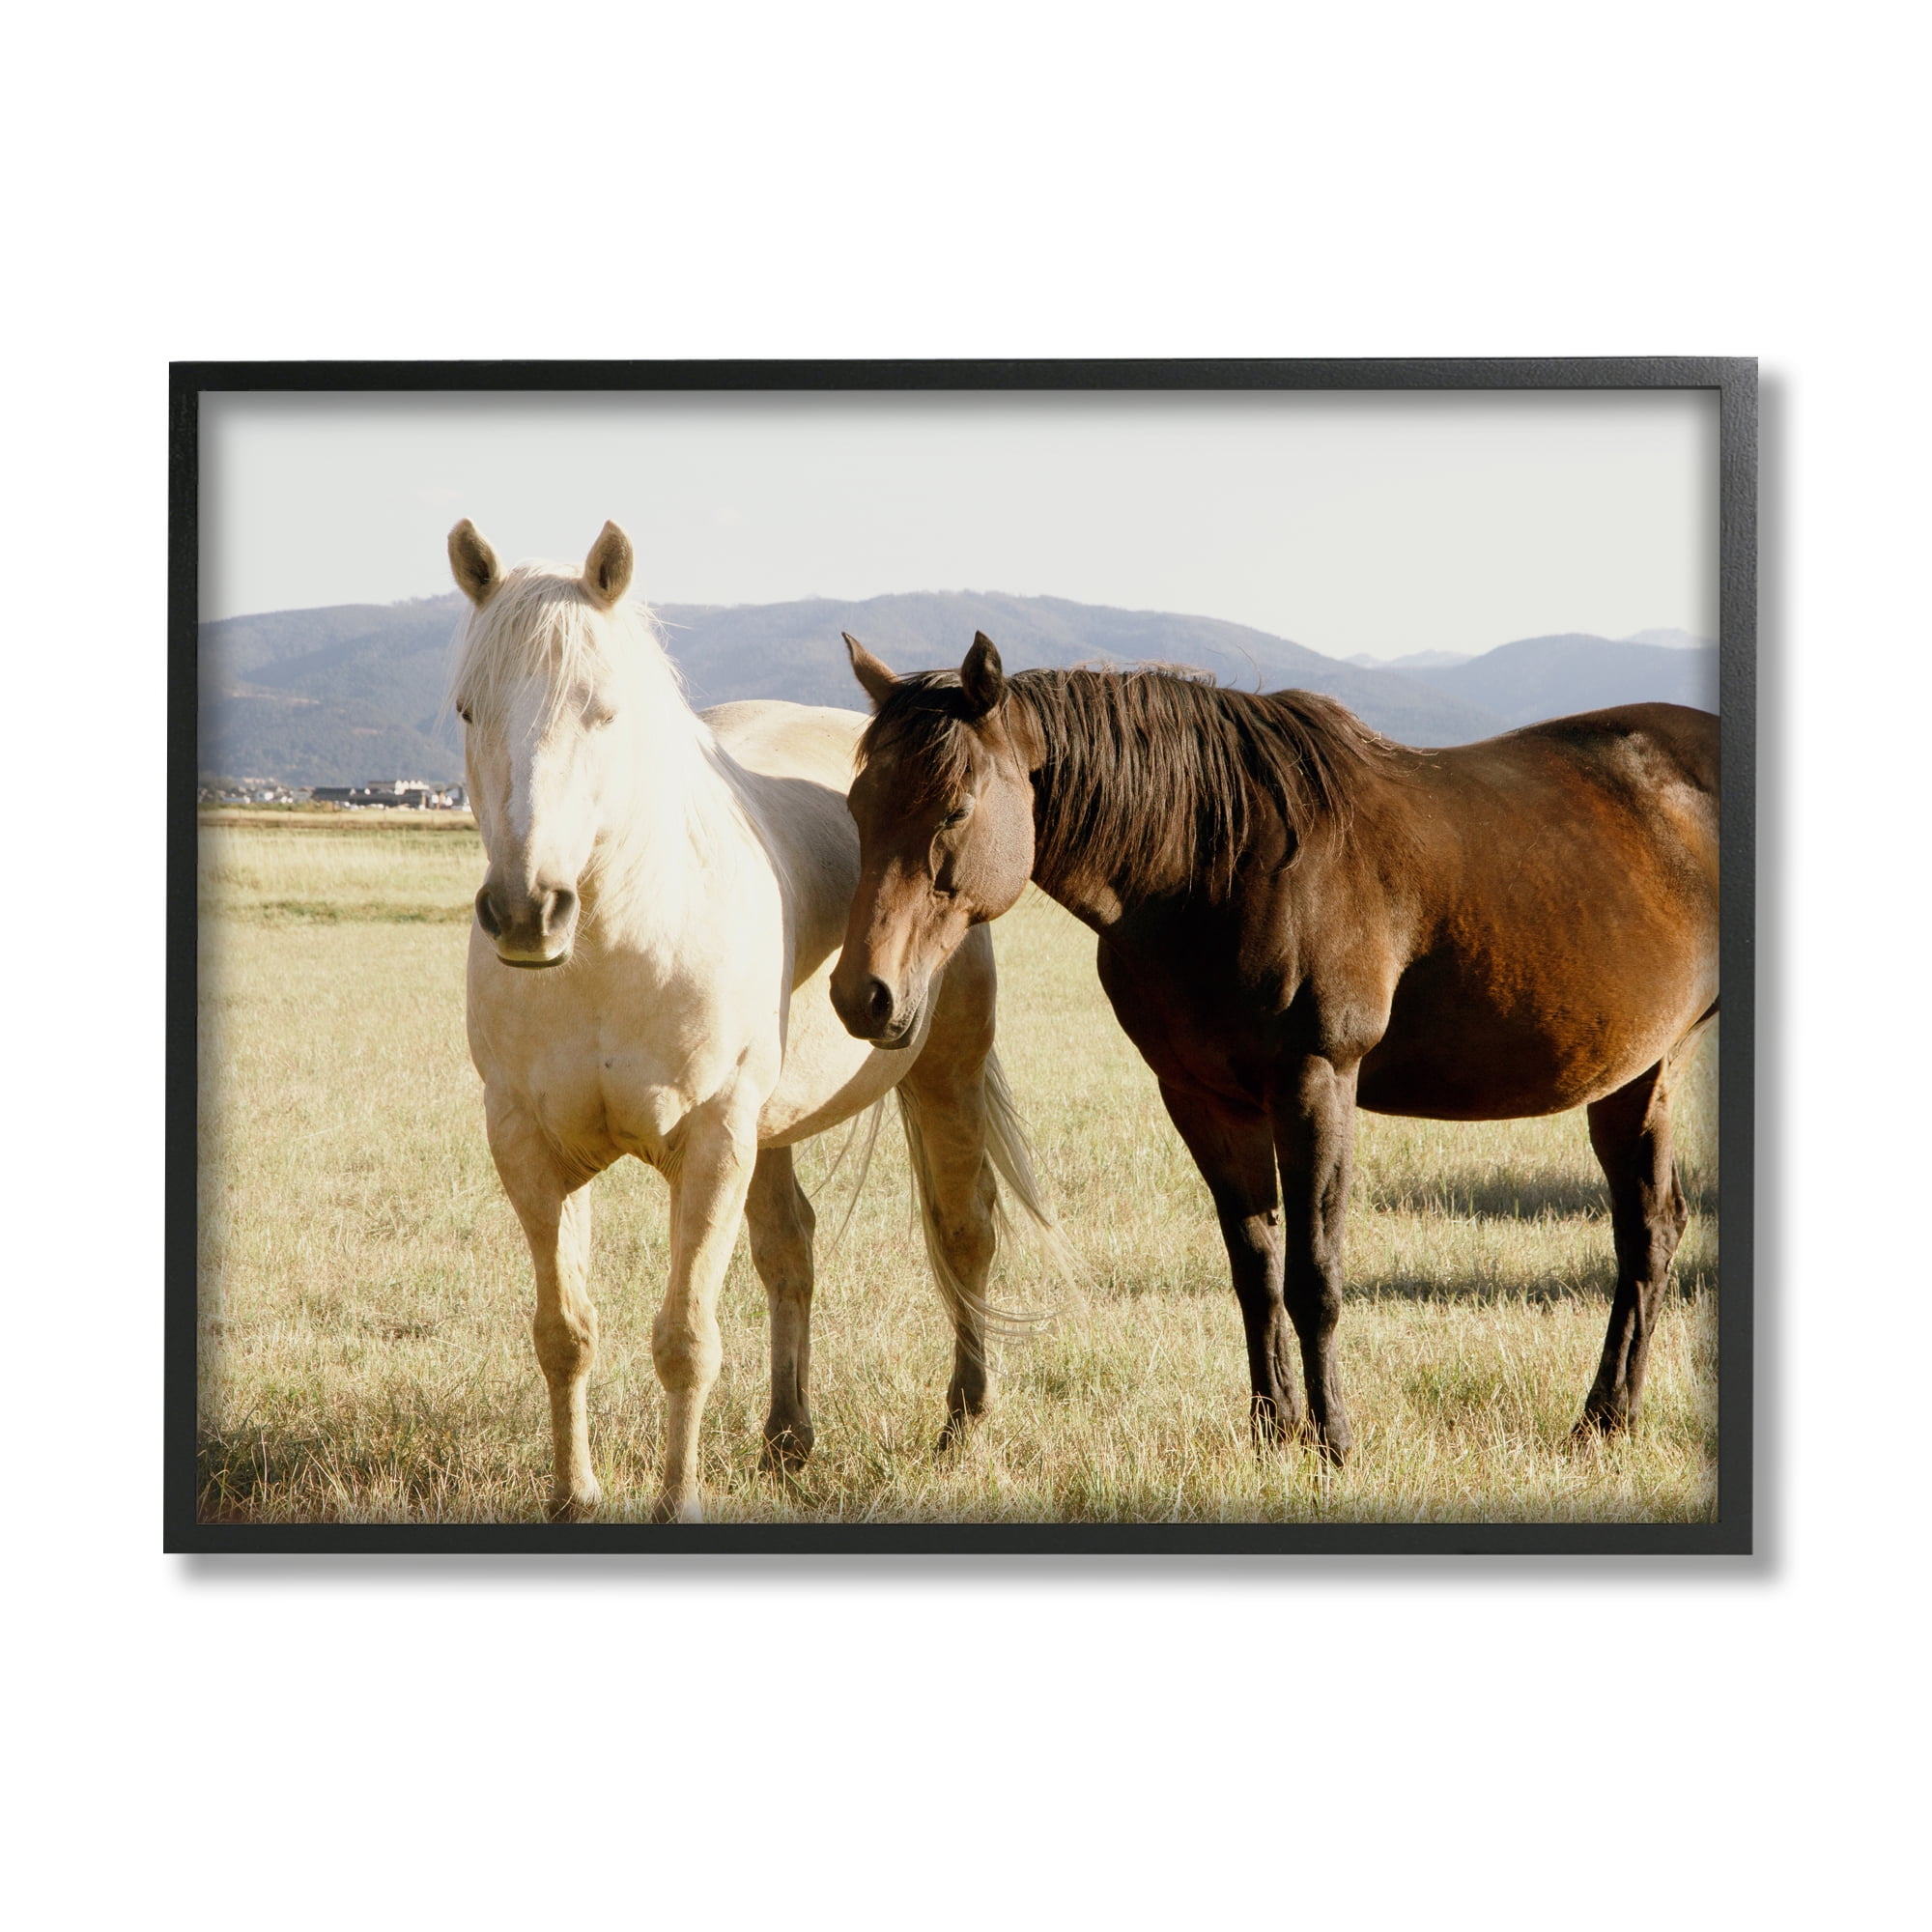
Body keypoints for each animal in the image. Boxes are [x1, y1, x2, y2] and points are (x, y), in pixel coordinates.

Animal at [447, 526, 1061, 1522]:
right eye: (468, 709)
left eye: (604, 712)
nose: (527, 912)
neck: (620, 947)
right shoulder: (528, 1146)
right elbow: (564, 1333)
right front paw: (574, 1497)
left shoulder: (711, 1141)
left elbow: (686, 1341)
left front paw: (678, 1503)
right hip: (769, 1128)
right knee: (790, 1252)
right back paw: (786, 1438)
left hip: (942, 1072)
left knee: (966, 1231)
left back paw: (964, 1424)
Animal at [830, 631, 1719, 1461]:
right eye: (858, 809)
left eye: (955, 808)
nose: (862, 995)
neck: (1215, 866)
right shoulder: (1202, 1099)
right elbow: (1254, 1273)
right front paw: (1273, 1430)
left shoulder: (1316, 1082)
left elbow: (1313, 1278)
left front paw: (1334, 1442)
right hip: (1638, 1073)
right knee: (1651, 1230)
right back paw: (1604, 1421)